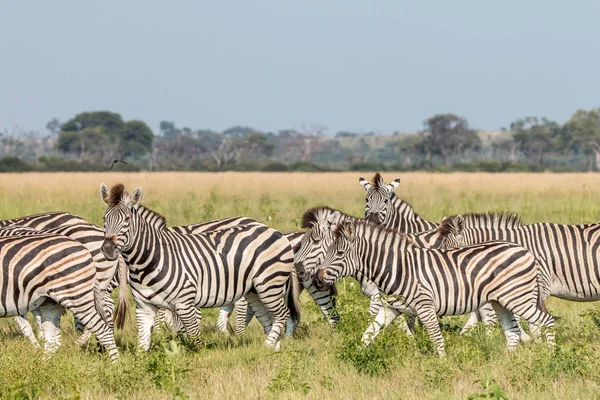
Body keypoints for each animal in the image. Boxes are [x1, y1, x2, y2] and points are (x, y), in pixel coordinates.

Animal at [101, 183, 304, 352]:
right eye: (104, 218)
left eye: (127, 219)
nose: (108, 249)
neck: (147, 261)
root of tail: (273, 230)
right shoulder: (144, 306)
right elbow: (144, 344)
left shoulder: (186, 301)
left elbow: (193, 339)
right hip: (255, 290)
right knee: (268, 318)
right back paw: (271, 350)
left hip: (268, 283)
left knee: (282, 314)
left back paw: (263, 345)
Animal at [312, 222, 556, 356]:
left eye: (339, 253)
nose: (317, 277)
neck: (398, 268)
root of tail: (525, 250)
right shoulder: (392, 307)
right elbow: (368, 333)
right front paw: (355, 359)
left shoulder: (425, 306)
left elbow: (436, 338)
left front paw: (443, 365)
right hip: (501, 301)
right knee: (513, 333)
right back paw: (506, 363)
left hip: (519, 299)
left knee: (547, 321)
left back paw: (551, 357)